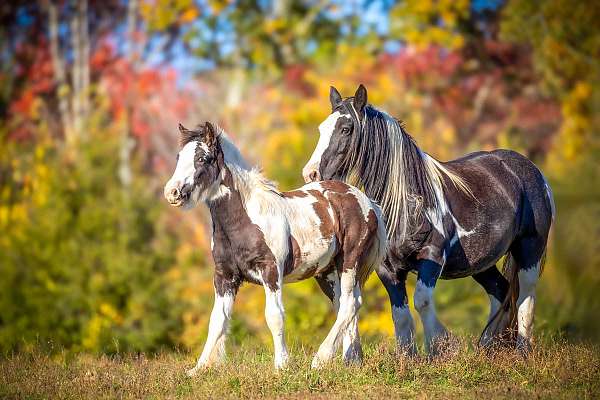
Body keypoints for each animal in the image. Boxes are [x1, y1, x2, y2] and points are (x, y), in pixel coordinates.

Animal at [164, 121, 386, 372]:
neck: (245, 220)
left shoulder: (270, 271)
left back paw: (321, 359)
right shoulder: (224, 276)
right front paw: (200, 368)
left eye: (202, 158)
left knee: (350, 304)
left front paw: (281, 365)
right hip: (327, 272)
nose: (172, 192)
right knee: (347, 305)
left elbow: (274, 316)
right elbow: (217, 320)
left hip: (349, 262)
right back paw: (352, 360)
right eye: (179, 156)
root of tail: (368, 202)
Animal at [302, 84, 556, 354]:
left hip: (529, 250)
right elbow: (401, 317)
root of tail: (529, 169)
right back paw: (487, 350)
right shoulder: (388, 269)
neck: (407, 206)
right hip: (482, 263)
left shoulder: (432, 257)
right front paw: (408, 357)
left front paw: (439, 348)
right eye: (322, 129)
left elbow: (422, 302)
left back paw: (522, 351)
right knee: (501, 292)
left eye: (346, 129)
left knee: (525, 299)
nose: (311, 173)